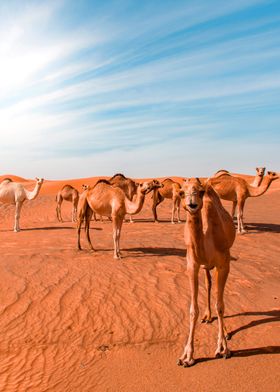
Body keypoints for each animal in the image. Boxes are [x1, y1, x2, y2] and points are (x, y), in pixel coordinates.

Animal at [177, 178, 236, 368]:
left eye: (200, 192)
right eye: (182, 192)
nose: (192, 204)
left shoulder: (224, 263)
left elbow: (221, 305)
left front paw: (223, 348)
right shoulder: (192, 265)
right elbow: (192, 310)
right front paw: (187, 356)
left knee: (218, 294)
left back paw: (225, 332)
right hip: (205, 267)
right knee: (209, 285)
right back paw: (207, 316)